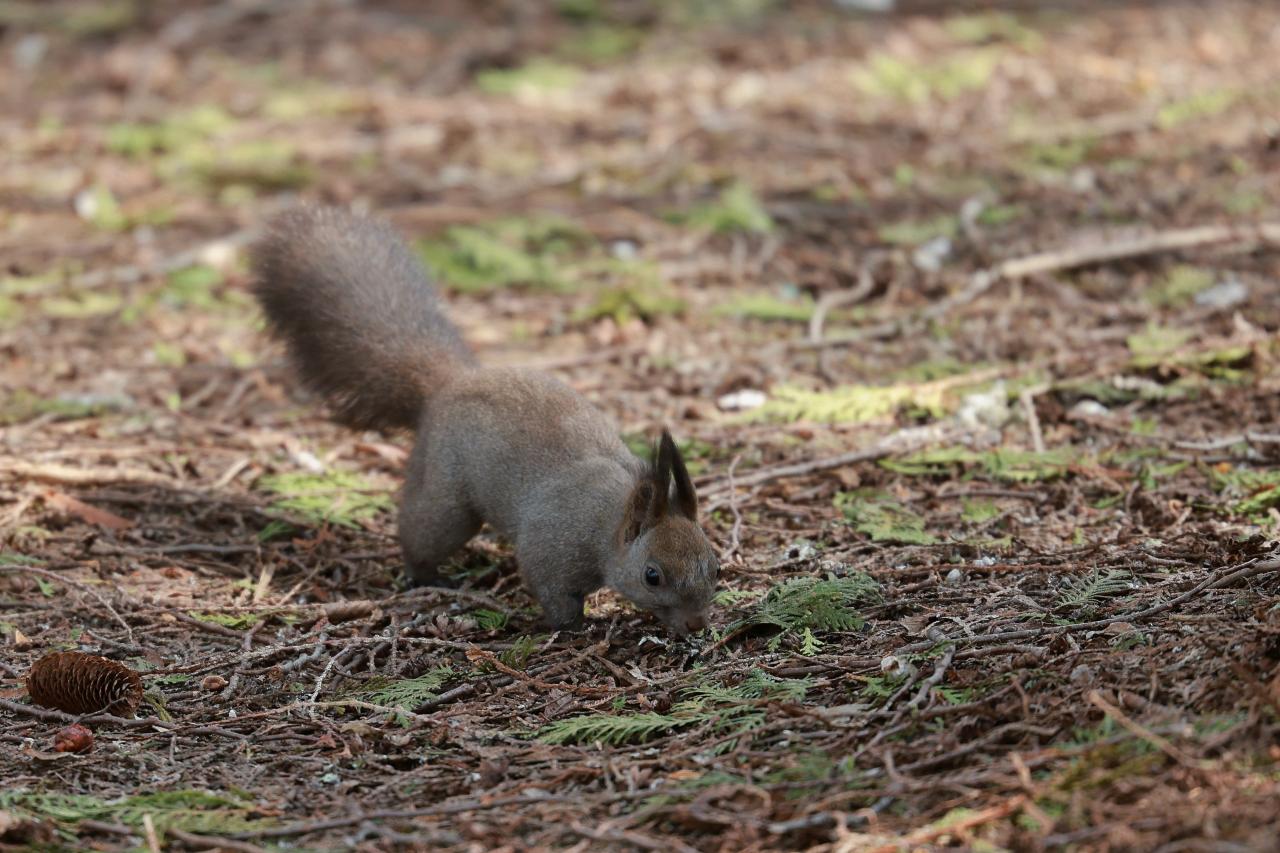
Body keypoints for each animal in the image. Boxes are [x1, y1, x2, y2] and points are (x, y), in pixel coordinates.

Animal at [249, 206, 721, 630]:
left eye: (716, 566)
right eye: (652, 575)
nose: (697, 625)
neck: (611, 518)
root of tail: (449, 382)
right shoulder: (552, 546)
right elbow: (554, 594)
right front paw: (569, 627)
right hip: (447, 500)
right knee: (421, 532)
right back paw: (428, 577)